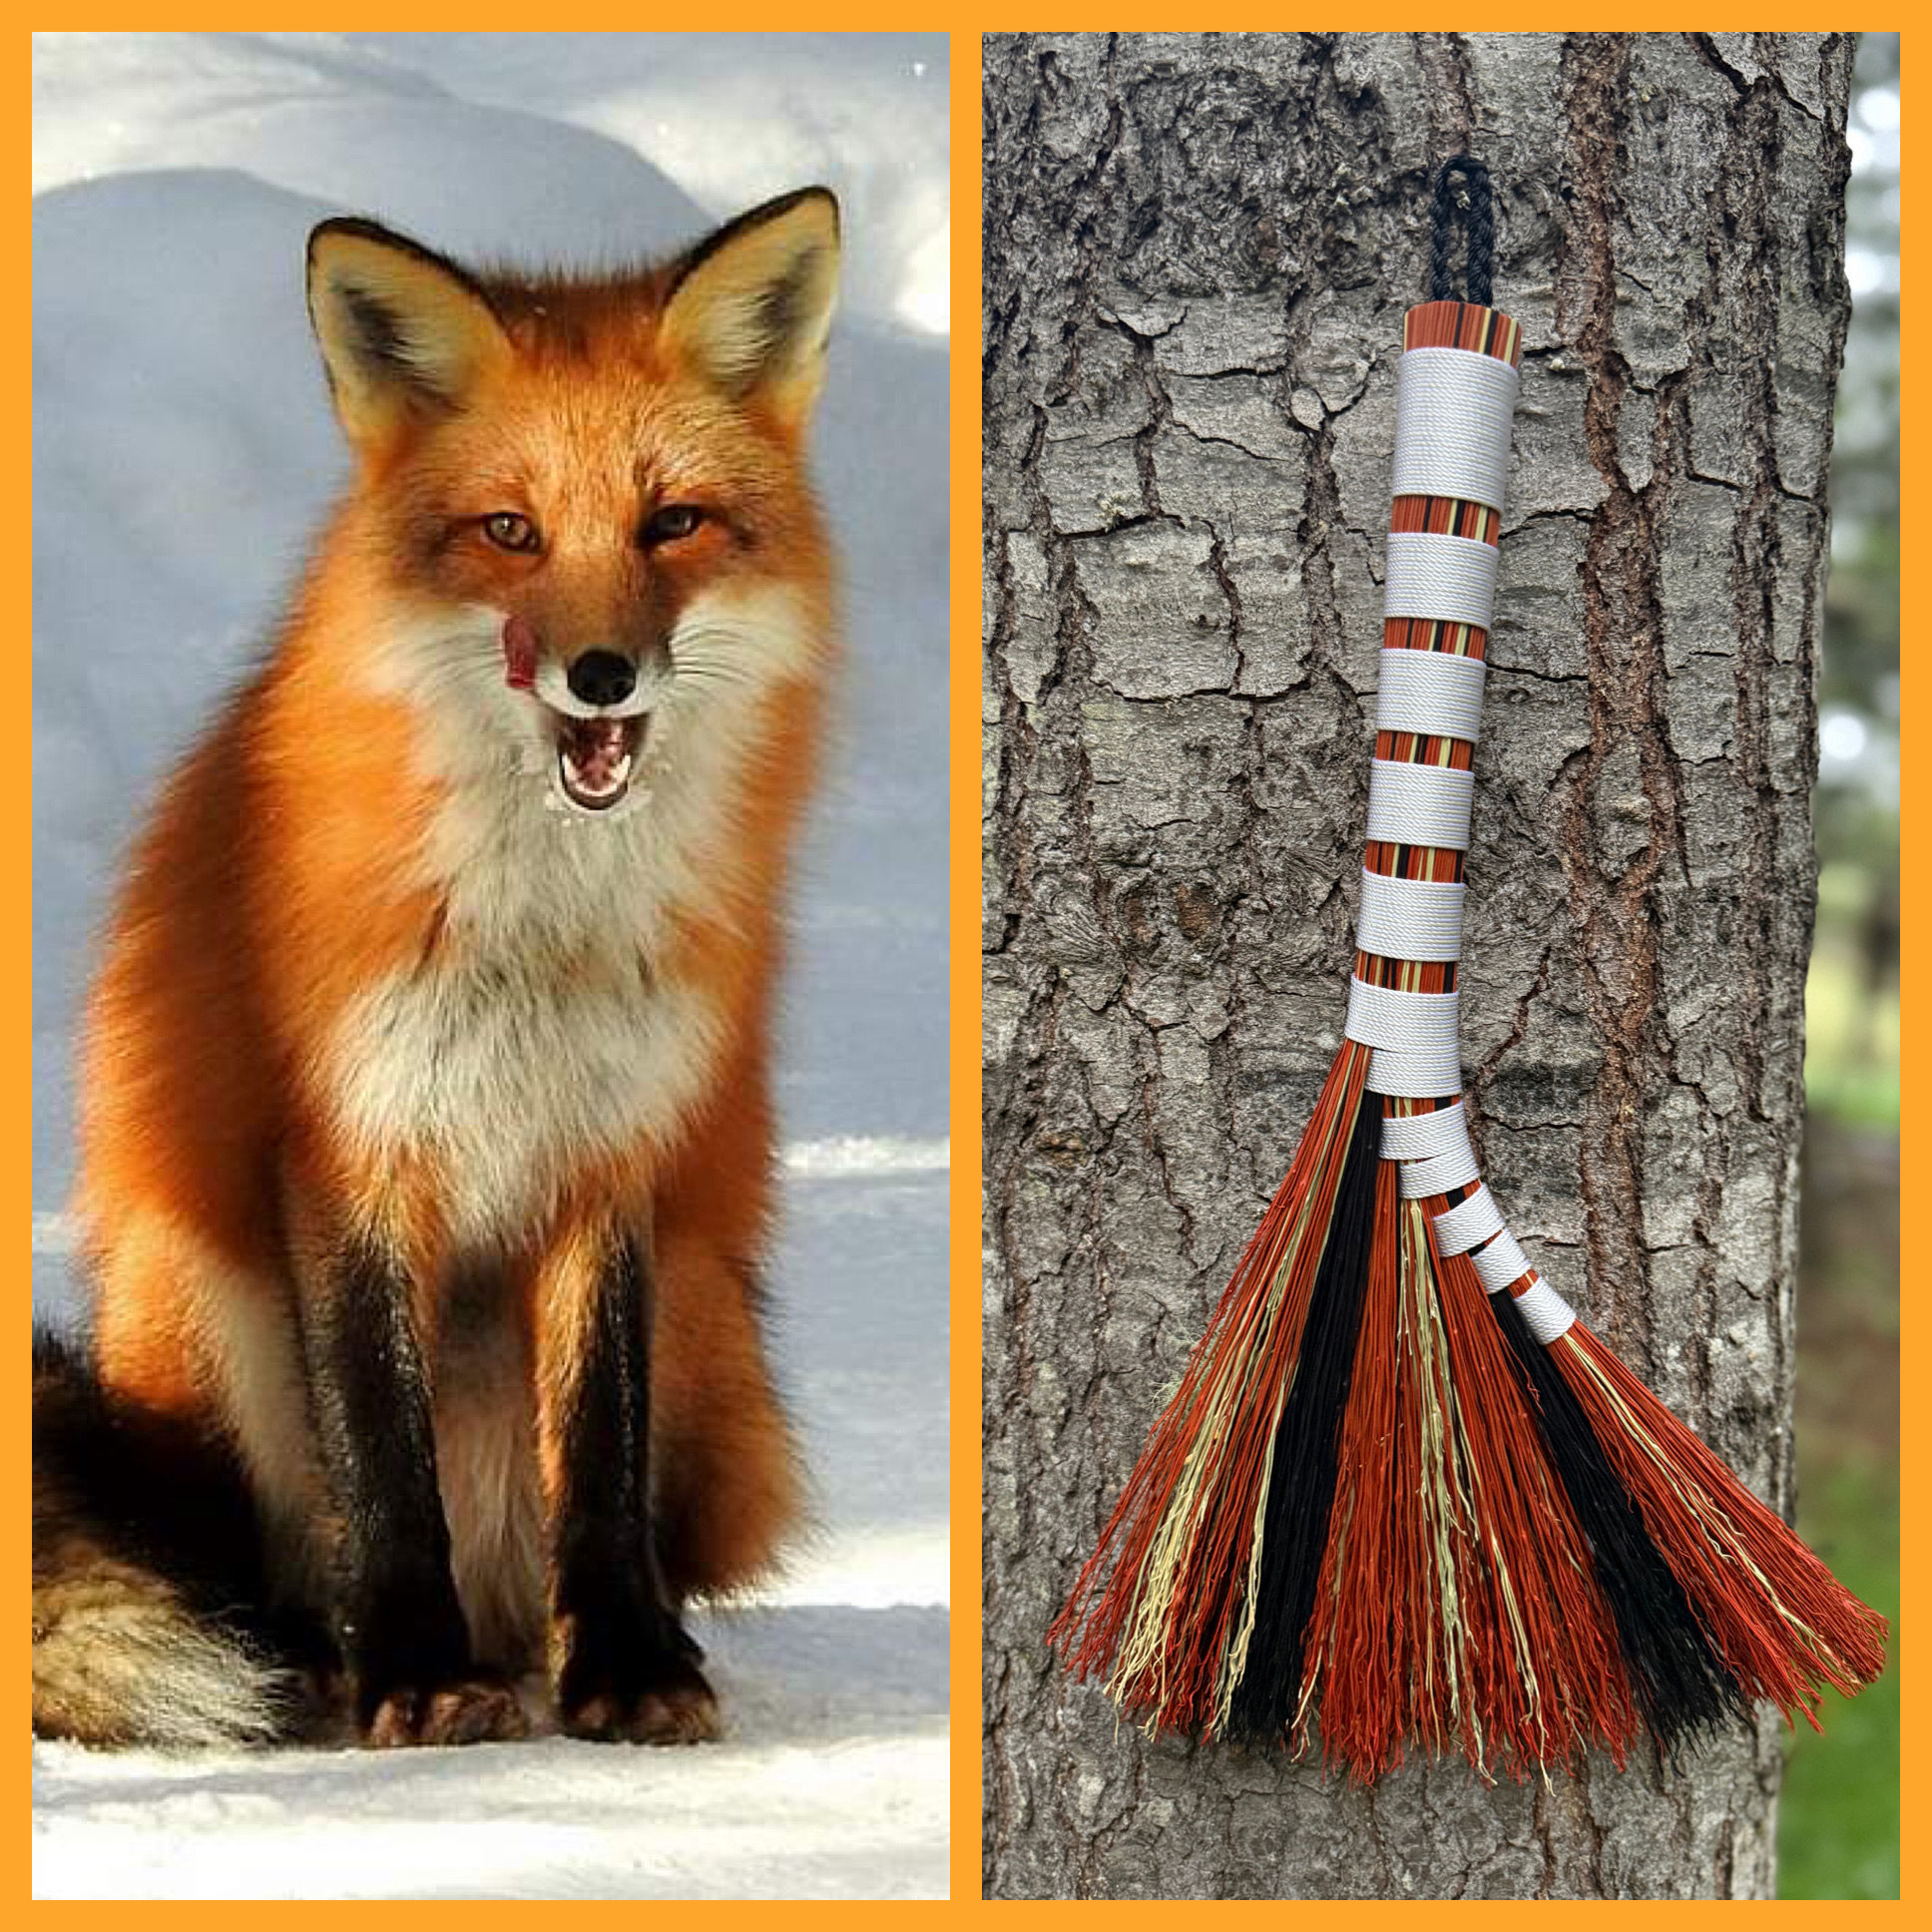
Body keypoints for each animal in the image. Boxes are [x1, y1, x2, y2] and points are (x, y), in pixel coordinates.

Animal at [32, 187, 844, 1750]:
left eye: (673, 524)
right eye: (510, 532)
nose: (601, 673)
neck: (542, 933)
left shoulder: (613, 1150)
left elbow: (599, 1449)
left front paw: (626, 1667)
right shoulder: (349, 1142)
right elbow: (379, 1446)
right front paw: (413, 1669)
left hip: (712, 1322)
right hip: (201, 1300)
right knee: (260, 1557)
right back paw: (321, 1656)